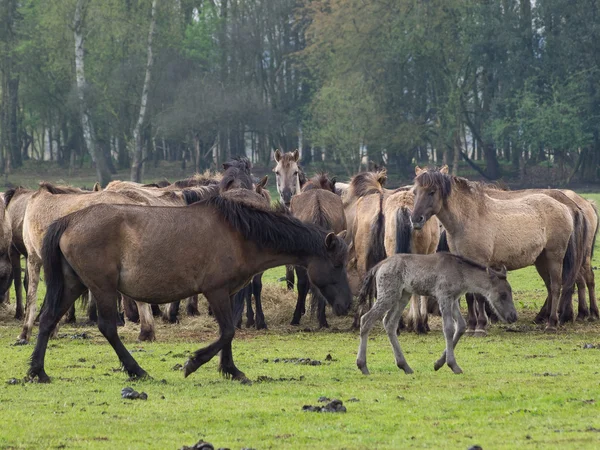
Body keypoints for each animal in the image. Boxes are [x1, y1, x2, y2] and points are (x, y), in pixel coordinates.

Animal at [28, 193, 354, 384]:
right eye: (337, 264)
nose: (347, 305)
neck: (240, 234)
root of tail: (69, 220)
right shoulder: (216, 291)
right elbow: (227, 331)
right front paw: (194, 362)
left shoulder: (229, 293)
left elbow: (229, 332)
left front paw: (231, 370)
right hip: (102, 287)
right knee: (108, 327)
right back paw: (136, 370)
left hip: (73, 284)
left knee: (47, 320)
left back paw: (37, 371)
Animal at [356, 253, 516, 376]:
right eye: (503, 294)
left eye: (510, 291)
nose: (513, 316)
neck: (461, 274)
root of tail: (378, 266)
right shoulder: (443, 296)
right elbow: (448, 328)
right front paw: (453, 365)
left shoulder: (453, 299)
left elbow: (461, 326)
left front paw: (438, 363)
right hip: (388, 294)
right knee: (366, 319)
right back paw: (363, 366)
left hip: (403, 296)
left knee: (389, 323)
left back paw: (405, 366)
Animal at [410, 165, 584, 330]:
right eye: (415, 192)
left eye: (432, 192)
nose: (415, 219)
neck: (468, 218)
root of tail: (565, 207)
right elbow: (470, 295)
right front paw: (471, 326)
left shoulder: (479, 261)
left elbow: (479, 295)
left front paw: (480, 325)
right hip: (541, 260)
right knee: (549, 286)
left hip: (555, 257)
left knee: (555, 287)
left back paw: (552, 324)